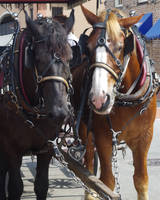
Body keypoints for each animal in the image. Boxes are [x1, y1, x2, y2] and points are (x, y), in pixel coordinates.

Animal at [0, 9, 74, 200]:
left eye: (70, 57)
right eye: (38, 59)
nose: (59, 113)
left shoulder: (47, 147)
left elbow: (41, 186)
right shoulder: (11, 148)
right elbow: (15, 188)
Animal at [71, 5, 159, 200]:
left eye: (121, 47)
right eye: (88, 48)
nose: (98, 99)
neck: (127, 98)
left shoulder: (145, 137)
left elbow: (141, 180)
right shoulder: (102, 137)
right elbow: (106, 183)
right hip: (84, 129)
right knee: (88, 166)